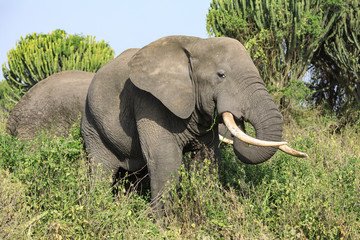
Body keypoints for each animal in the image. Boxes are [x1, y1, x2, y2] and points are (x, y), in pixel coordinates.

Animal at [81, 35, 306, 206]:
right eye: (221, 75)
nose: (238, 115)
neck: (196, 44)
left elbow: (207, 160)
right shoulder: (148, 101)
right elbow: (166, 160)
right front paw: (163, 228)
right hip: (92, 126)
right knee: (102, 171)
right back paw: (97, 208)